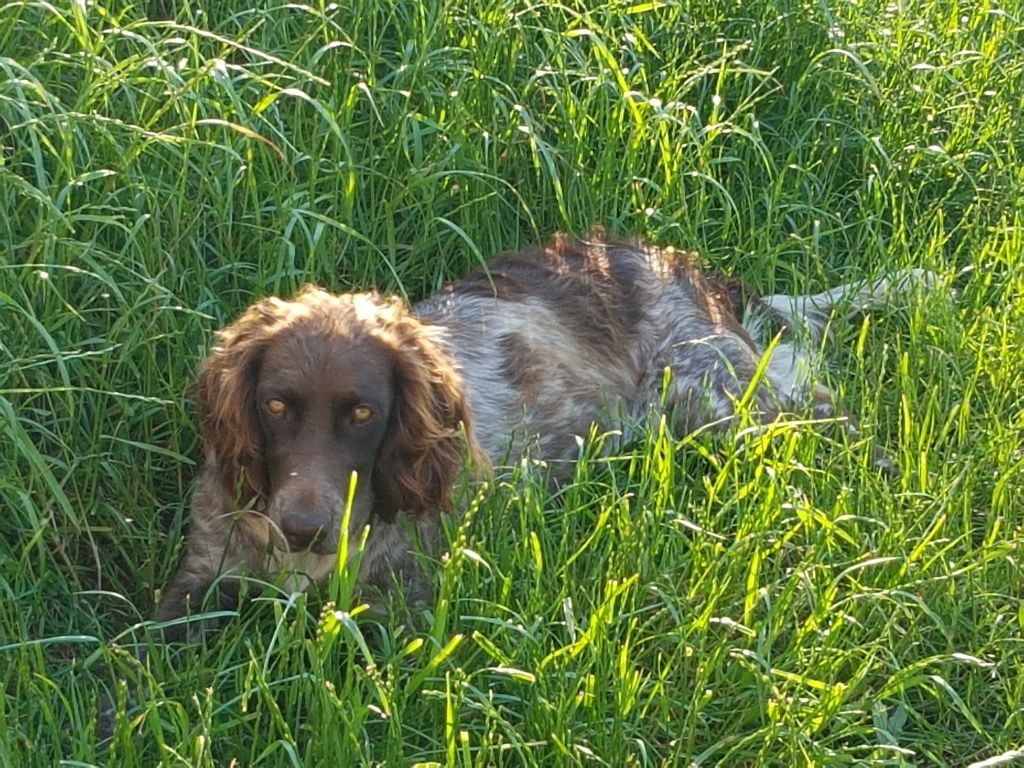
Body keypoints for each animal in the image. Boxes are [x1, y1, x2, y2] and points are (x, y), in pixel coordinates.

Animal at [155, 230, 933, 638]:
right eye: (275, 406)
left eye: (364, 414)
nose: (304, 529)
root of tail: (682, 266)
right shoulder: (197, 580)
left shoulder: (404, 600)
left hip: (715, 395)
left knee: (837, 426)